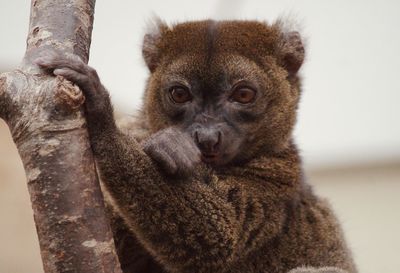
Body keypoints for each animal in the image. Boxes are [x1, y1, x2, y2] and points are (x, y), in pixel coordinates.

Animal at [36, 19, 358, 272]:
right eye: (180, 94)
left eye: (243, 95)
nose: (206, 136)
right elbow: (101, 247)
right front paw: (169, 145)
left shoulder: (280, 174)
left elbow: (222, 234)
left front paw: (100, 114)